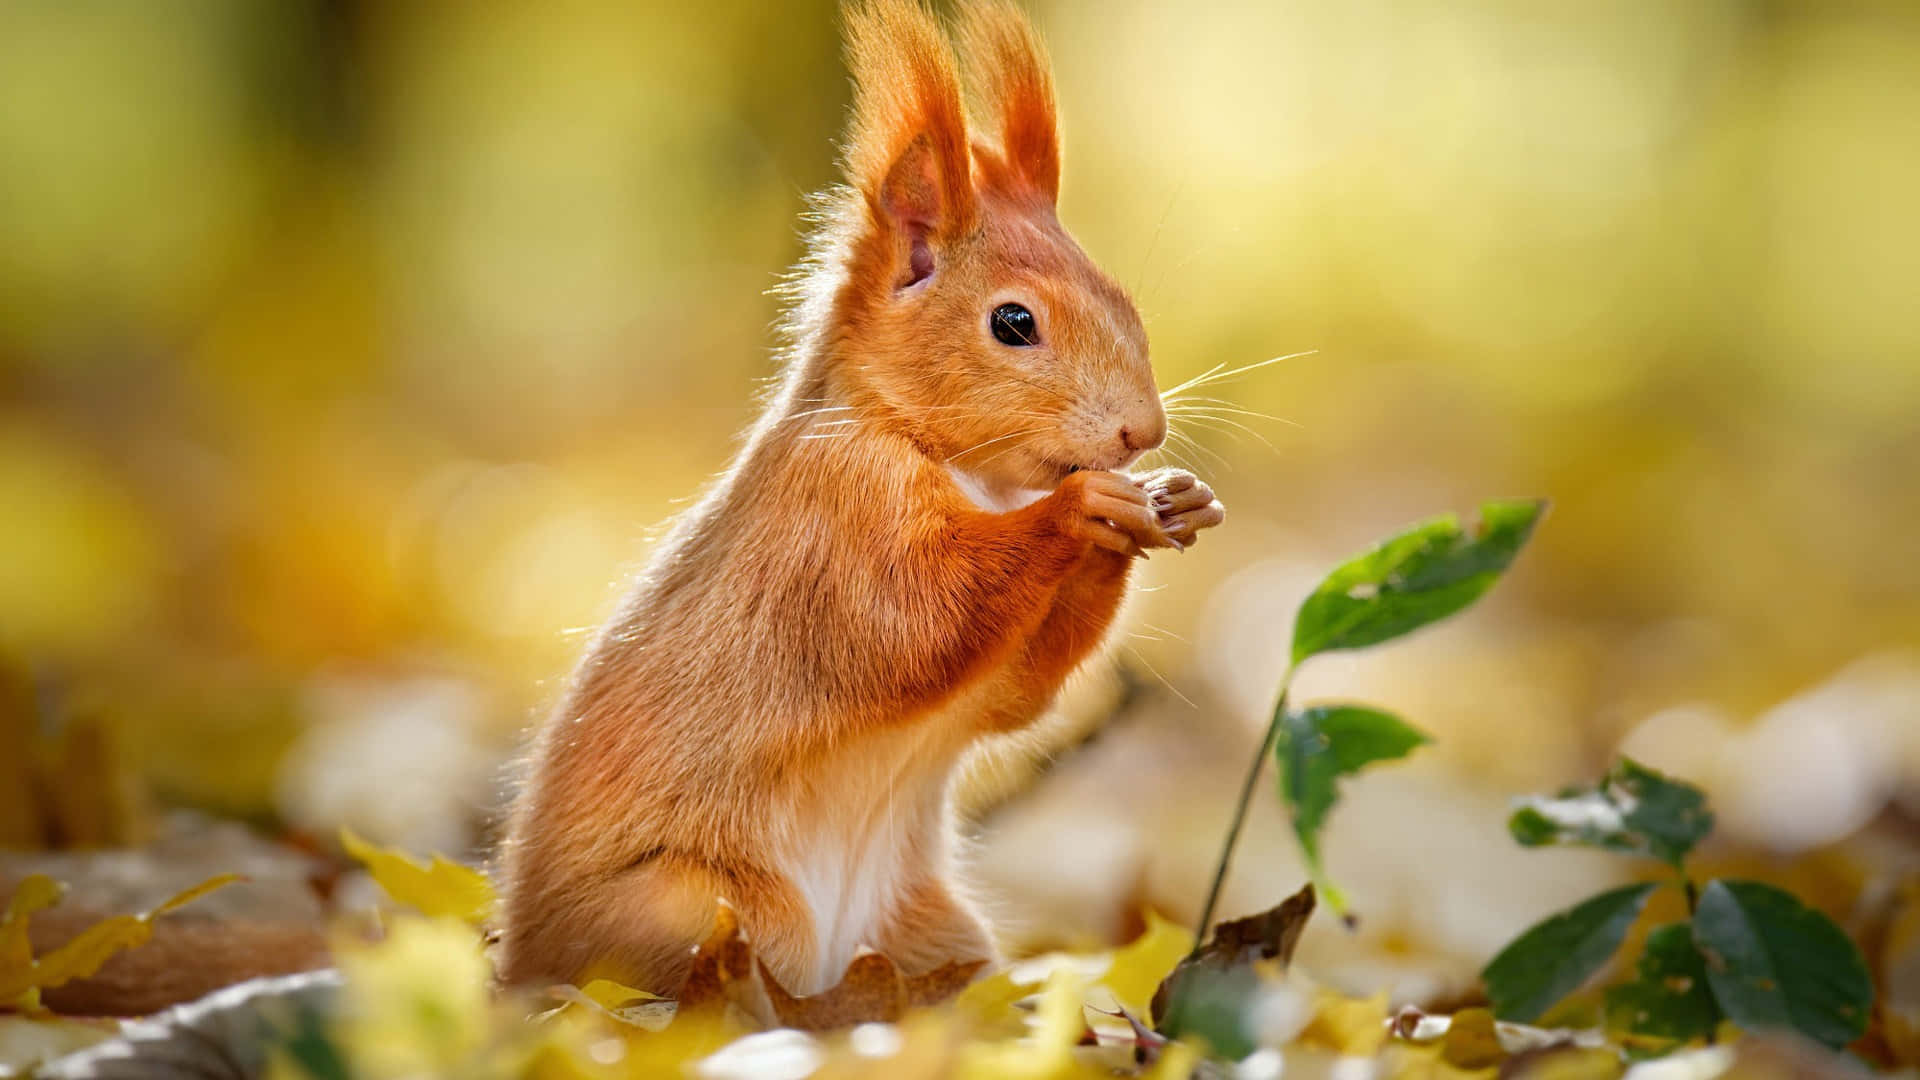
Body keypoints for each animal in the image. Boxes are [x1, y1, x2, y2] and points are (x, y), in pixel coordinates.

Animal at [496, 0, 1225, 998]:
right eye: (1013, 322)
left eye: (1124, 299)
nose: (1141, 432)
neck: (963, 468)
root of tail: (516, 966)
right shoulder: (835, 520)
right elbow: (915, 621)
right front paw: (1078, 515)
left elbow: (1010, 695)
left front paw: (1172, 501)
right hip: (698, 911)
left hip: (934, 930)